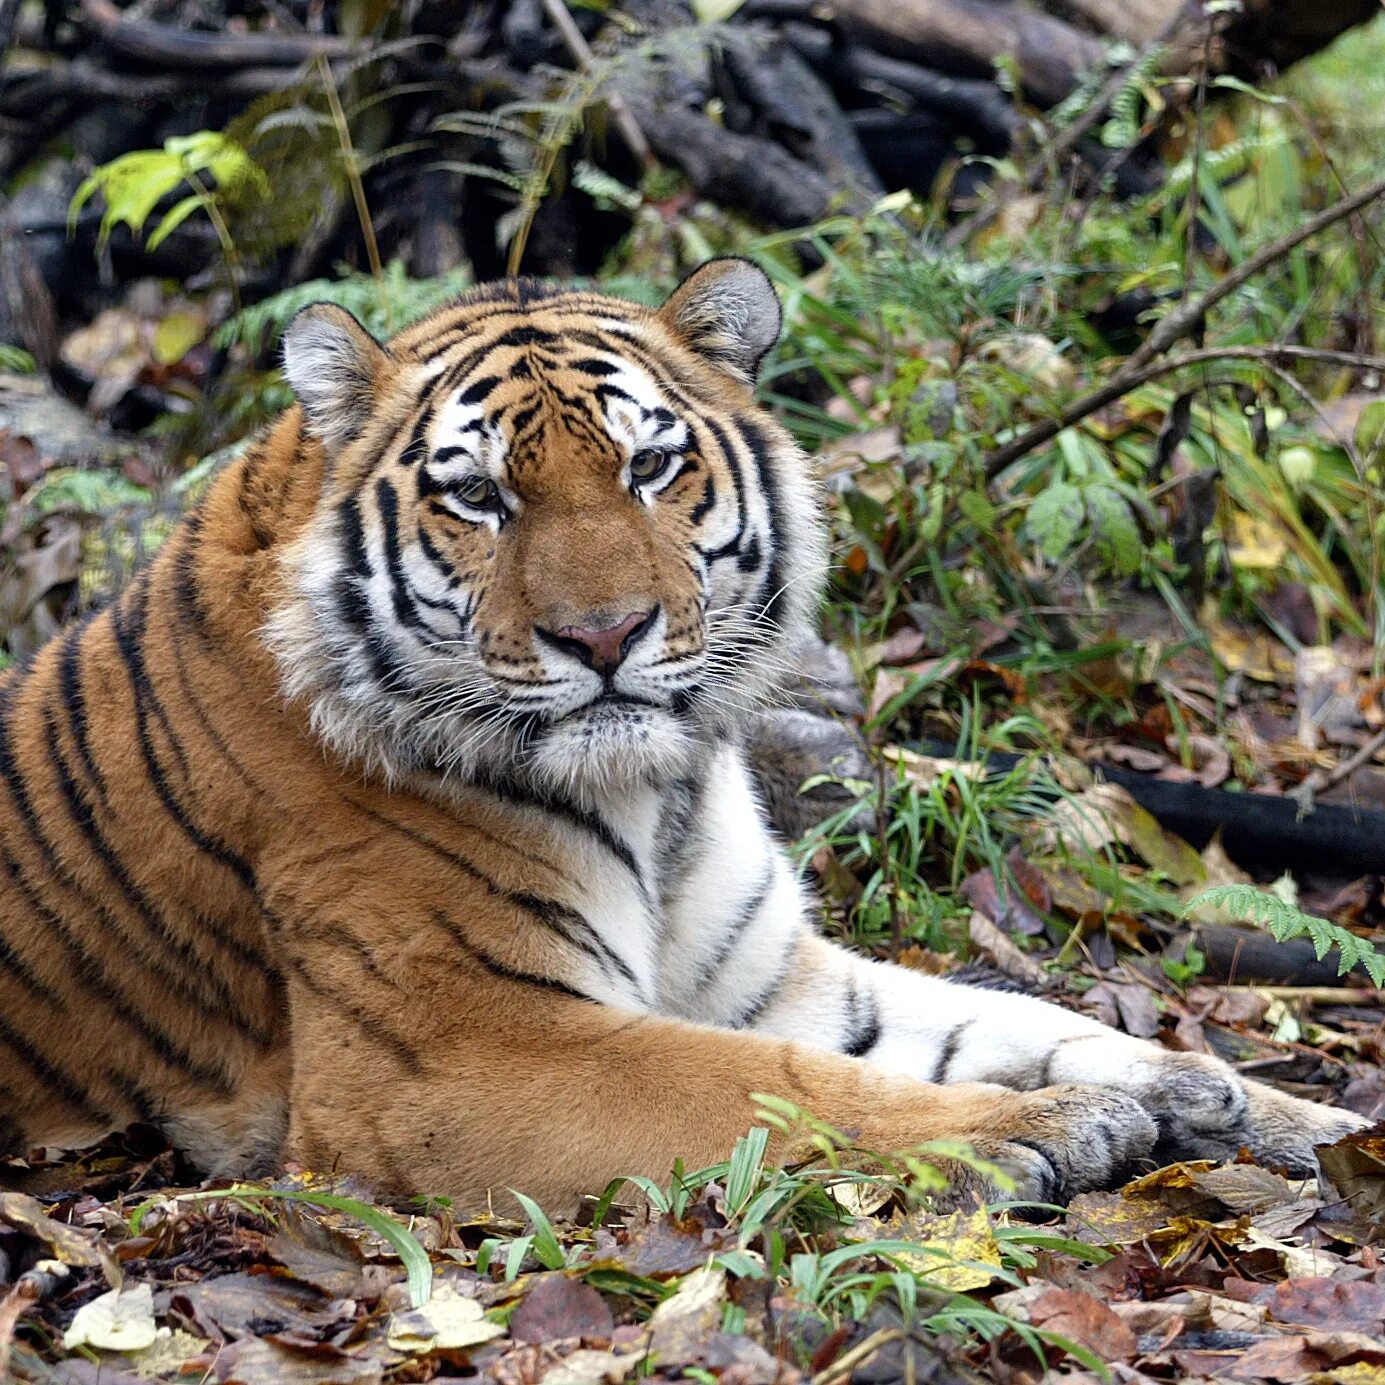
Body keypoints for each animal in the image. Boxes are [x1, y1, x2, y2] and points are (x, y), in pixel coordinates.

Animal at [0, 260, 1362, 1213]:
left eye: (650, 466)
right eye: (478, 494)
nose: (602, 634)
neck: (655, 797)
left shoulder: (773, 975)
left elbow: (1019, 1021)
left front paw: (1270, 1111)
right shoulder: (457, 1053)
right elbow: (768, 1087)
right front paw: (1028, 1127)